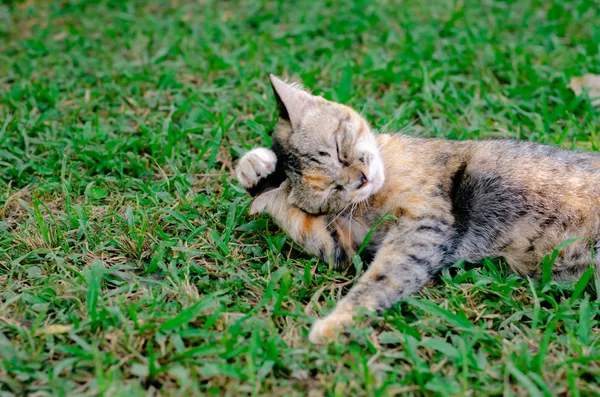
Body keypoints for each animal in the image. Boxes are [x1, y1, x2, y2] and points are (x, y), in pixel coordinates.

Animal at [233, 75, 600, 344]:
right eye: (331, 190)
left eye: (338, 149)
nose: (361, 179)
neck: (380, 190)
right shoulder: (344, 242)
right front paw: (256, 172)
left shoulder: (425, 223)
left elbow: (381, 279)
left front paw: (337, 322)